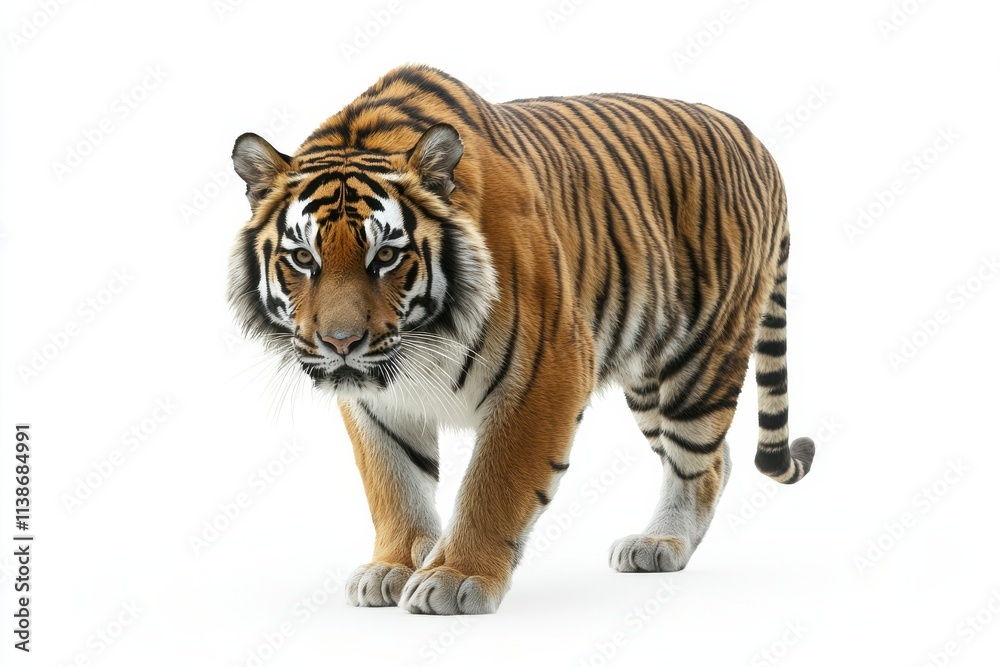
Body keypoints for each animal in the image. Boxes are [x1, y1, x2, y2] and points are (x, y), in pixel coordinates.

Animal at [227, 63, 815, 615]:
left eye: (386, 256)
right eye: (304, 258)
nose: (341, 343)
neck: (422, 340)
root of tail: (756, 141)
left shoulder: (547, 371)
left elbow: (495, 485)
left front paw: (455, 578)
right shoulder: (377, 400)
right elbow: (394, 483)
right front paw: (391, 566)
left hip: (698, 363)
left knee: (700, 460)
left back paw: (661, 543)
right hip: (649, 378)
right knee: (717, 457)